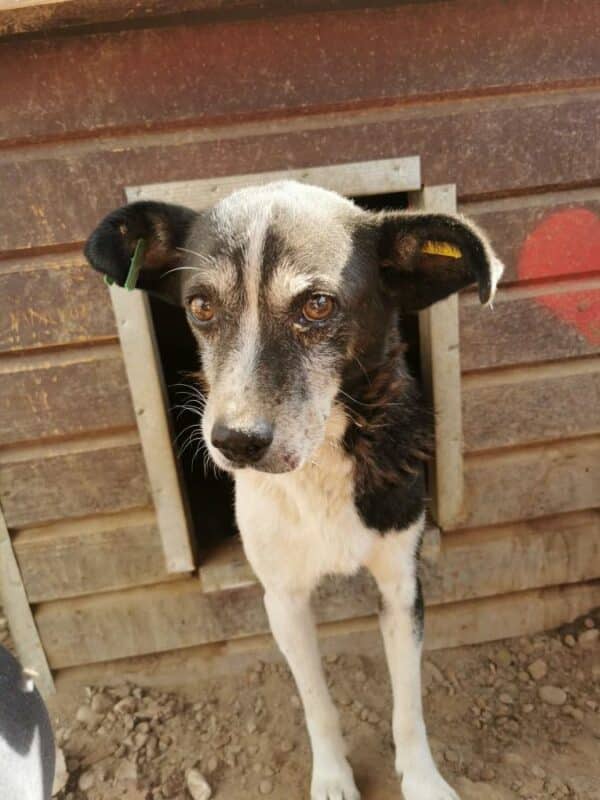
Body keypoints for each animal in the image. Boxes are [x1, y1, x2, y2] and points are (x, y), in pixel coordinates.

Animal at [86, 181, 504, 800]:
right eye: (201, 306)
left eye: (318, 306)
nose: (235, 441)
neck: (319, 466)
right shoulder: (282, 599)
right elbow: (317, 704)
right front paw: (333, 777)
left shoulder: (402, 585)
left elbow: (408, 704)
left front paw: (422, 779)